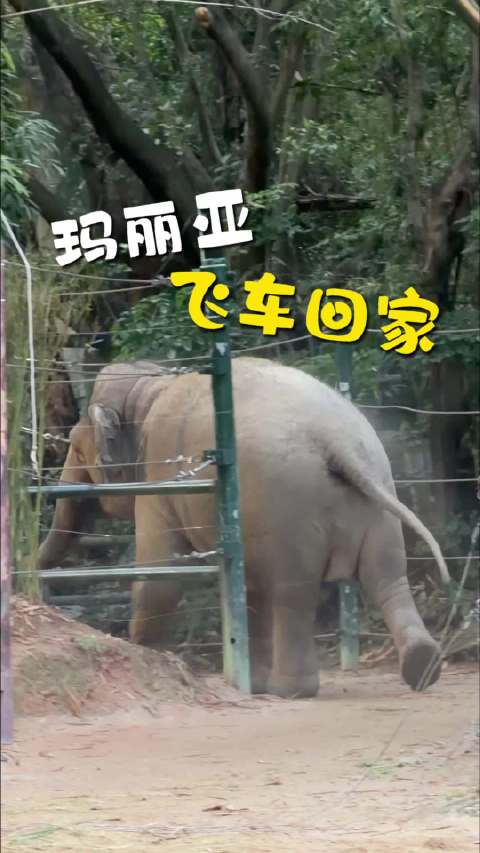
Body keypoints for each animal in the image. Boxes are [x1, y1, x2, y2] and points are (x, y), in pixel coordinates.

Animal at [39, 356, 449, 698]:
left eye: (76, 448)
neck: (152, 387)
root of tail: (337, 440)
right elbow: (247, 589)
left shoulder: (160, 476)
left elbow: (162, 577)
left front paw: (142, 649)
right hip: (375, 493)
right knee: (388, 576)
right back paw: (422, 664)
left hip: (288, 505)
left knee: (292, 595)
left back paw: (290, 691)